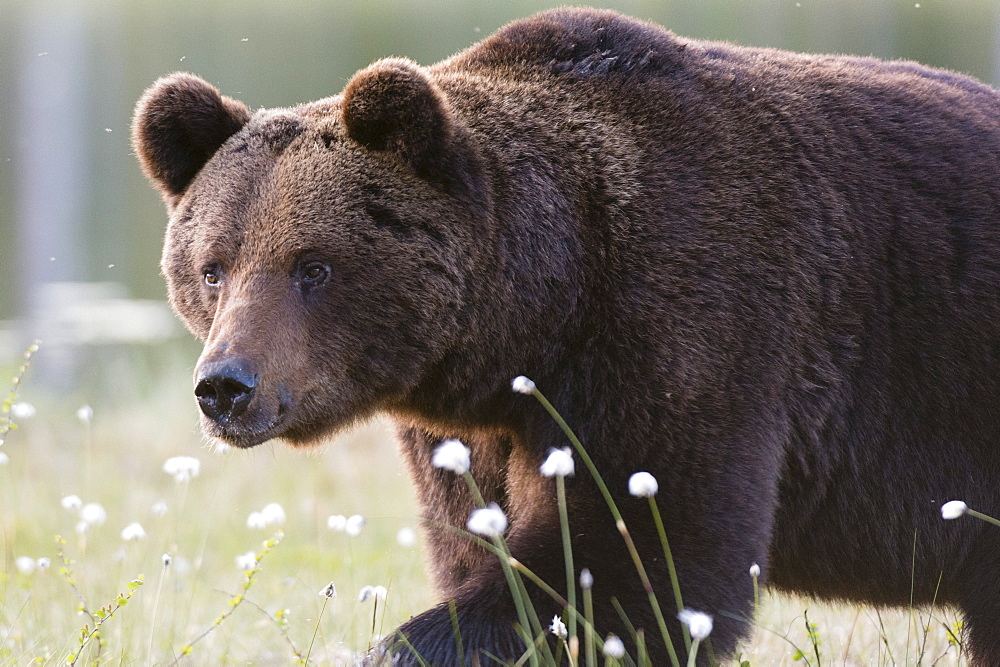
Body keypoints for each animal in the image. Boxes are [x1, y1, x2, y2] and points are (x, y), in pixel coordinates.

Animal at [133, 6, 1000, 667]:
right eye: (213, 267)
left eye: (311, 265)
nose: (225, 386)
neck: (549, 305)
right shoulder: (473, 432)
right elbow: (484, 545)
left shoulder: (689, 324)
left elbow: (636, 562)